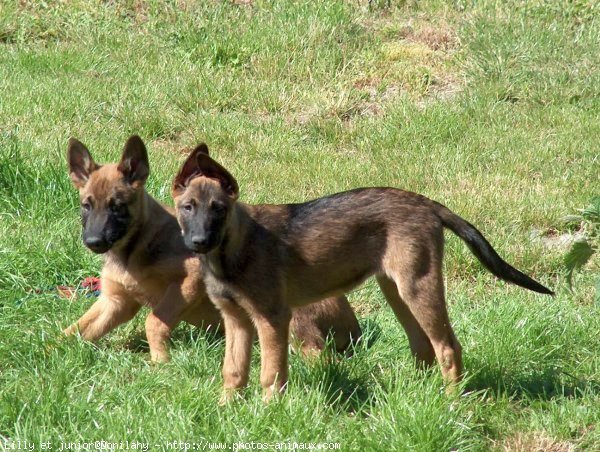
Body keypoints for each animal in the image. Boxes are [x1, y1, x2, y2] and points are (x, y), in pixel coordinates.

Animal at [64, 136, 360, 362]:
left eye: (117, 206)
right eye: (86, 205)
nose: (93, 242)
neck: (134, 247)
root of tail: (354, 327)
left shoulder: (190, 279)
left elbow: (154, 321)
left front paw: (160, 362)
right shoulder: (115, 302)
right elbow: (74, 330)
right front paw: (53, 351)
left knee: (318, 354)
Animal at [170, 144, 552, 400]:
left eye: (218, 209)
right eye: (187, 207)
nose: (198, 242)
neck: (232, 248)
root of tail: (427, 204)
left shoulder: (272, 318)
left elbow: (271, 374)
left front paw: (268, 411)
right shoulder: (236, 319)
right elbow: (233, 371)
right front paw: (227, 411)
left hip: (417, 285)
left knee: (448, 347)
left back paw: (451, 403)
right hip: (395, 290)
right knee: (423, 347)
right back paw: (418, 399)